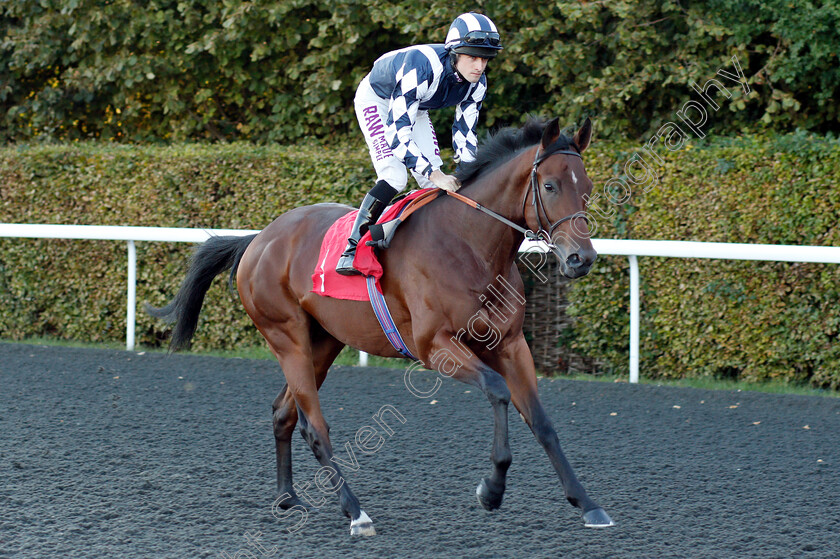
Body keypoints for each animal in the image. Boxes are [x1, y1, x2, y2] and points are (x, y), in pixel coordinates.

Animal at [148, 116, 612, 536]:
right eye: (550, 186)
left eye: (586, 188)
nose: (581, 259)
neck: (470, 245)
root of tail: (258, 240)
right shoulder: (435, 347)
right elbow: (497, 391)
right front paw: (491, 489)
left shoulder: (511, 344)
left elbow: (543, 422)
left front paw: (587, 503)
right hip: (287, 337)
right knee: (314, 427)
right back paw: (355, 513)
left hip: (324, 342)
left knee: (284, 413)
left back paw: (288, 497)